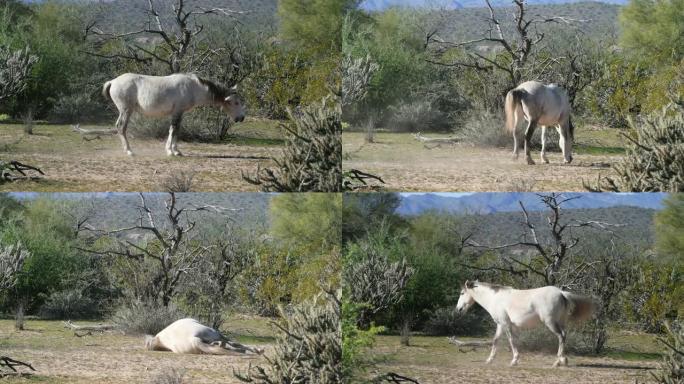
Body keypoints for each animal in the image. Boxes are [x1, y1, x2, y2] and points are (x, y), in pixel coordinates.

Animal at [102, 72, 246, 156]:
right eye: (236, 102)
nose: (241, 117)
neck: (193, 87)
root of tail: (113, 81)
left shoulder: (180, 113)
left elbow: (177, 130)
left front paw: (176, 150)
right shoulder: (177, 112)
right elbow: (173, 130)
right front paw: (170, 151)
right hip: (126, 110)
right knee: (121, 127)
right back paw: (129, 151)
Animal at [456, 280, 596, 368]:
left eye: (462, 293)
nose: (458, 309)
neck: (495, 299)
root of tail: (561, 293)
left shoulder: (506, 324)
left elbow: (511, 340)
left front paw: (514, 361)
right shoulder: (500, 325)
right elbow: (495, 340)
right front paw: (489, 360)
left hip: (550, 322)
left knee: (561, 336)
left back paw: (558, 362)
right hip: (560, 322)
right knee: (564, 336)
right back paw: (563, 360)